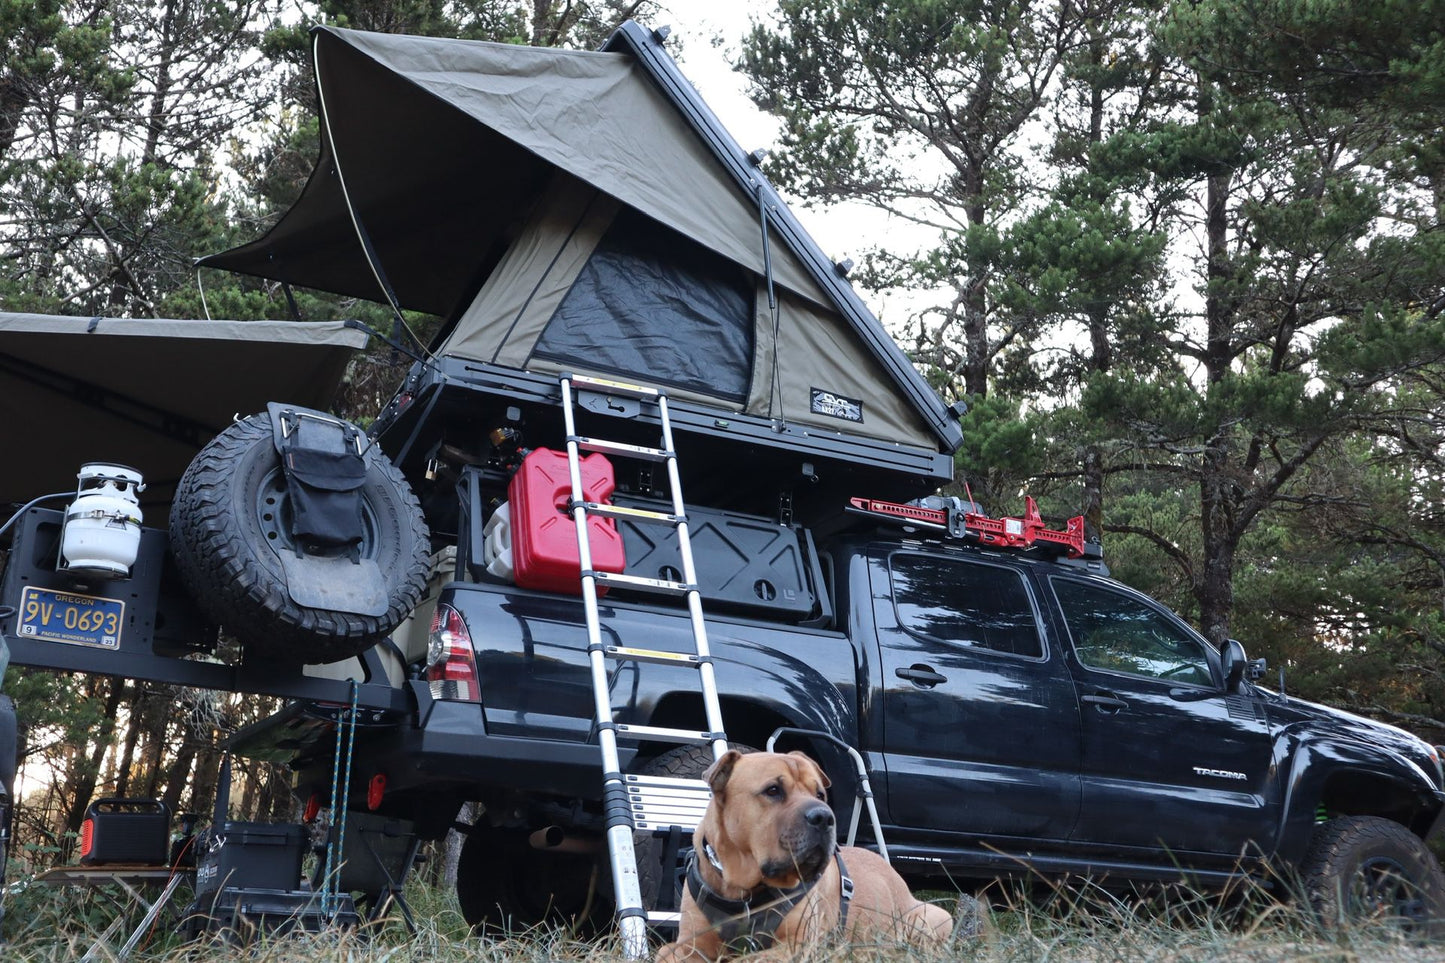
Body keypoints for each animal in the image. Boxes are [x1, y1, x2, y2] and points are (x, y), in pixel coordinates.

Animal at [658, 751, 959, 960]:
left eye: (820, 794)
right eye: (773, 790)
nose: (825, 817)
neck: (741, 888)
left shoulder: (796, 944)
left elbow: (746, 960)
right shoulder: (690, 942)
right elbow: (664, 952)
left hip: (933, 917)